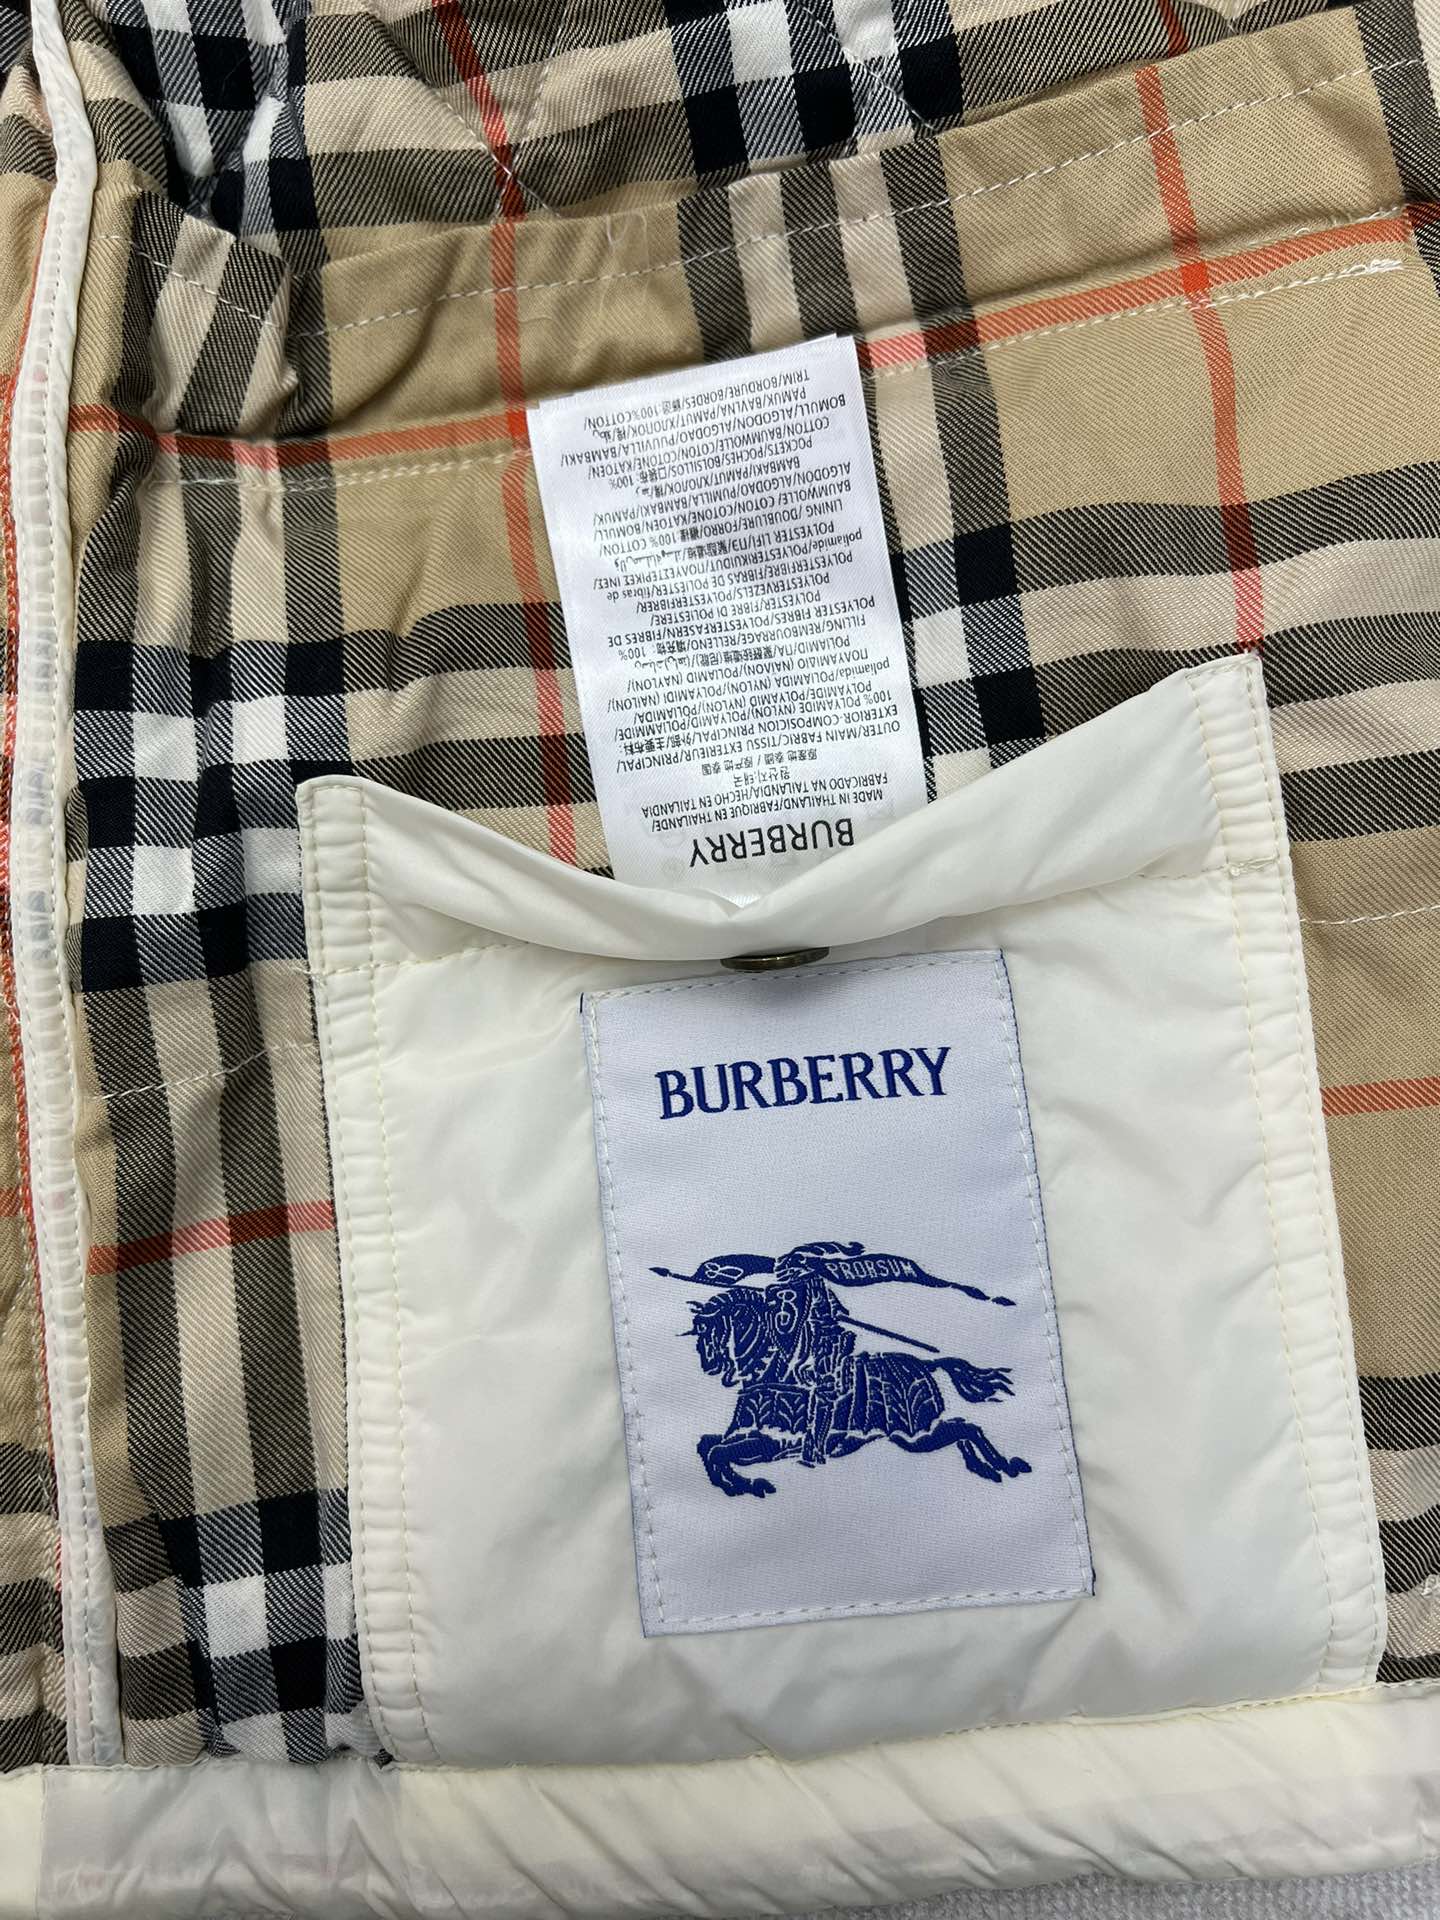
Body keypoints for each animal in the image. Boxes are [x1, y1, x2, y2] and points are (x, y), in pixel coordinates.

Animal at [686, 1284, 1032, 1498]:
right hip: (917, 1436)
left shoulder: (773, 1443)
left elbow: (717, 1453)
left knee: (967, 1428)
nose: (710, 1366)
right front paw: (736, 1486)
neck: (772, 1370)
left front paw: (749, 1485)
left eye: (715, 1329)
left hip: (915, 1435)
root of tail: (927, 1364)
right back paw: (986, 1468)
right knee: (963, 1428)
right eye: (699, 1334)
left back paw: (1004, 1465)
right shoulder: (747, 1437)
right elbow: (708, 1446)